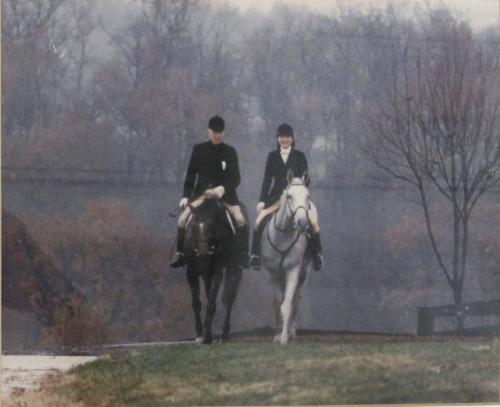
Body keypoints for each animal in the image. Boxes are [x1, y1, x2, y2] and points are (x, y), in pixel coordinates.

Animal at [184, 198, 242, 344]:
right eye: (193, 227)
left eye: (211, 226)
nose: (203, 252)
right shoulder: (191, 272)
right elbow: (196, 303)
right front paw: (200, 333)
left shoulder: (217, 272)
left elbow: (211, 303)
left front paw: (207, 336)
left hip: (233, 269)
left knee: (229, 298)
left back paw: (225, 333)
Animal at [260, 172, 310, 344]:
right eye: (289, 196)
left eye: (308, 196)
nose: (302, 222)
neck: (283, 236)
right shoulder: (273, 272)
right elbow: (277, 303)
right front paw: (277, 335)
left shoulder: (294, 270)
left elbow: (287, 305)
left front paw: (284, 338)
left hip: (303, 274)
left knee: (296, 299)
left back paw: (291, 331)